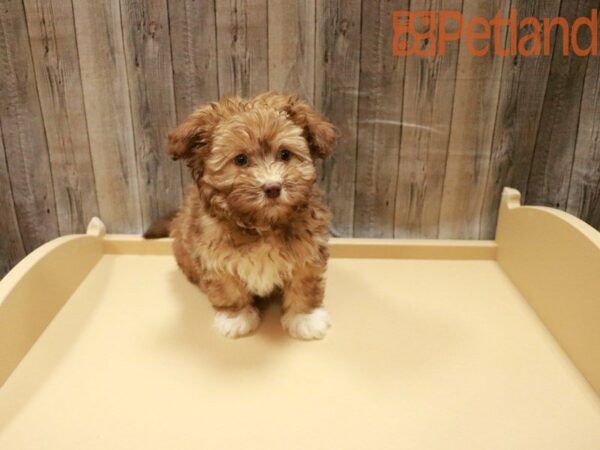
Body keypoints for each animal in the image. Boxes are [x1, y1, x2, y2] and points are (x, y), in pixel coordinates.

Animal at [144, 92, 336, 338]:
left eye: (285, 154)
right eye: (241, 160)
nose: (273, 187)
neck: (262, 225)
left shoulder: (309, 250)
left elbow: (305, 284)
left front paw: (305, 317)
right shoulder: (214, 256)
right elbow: (228, 288)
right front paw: (235, 317)